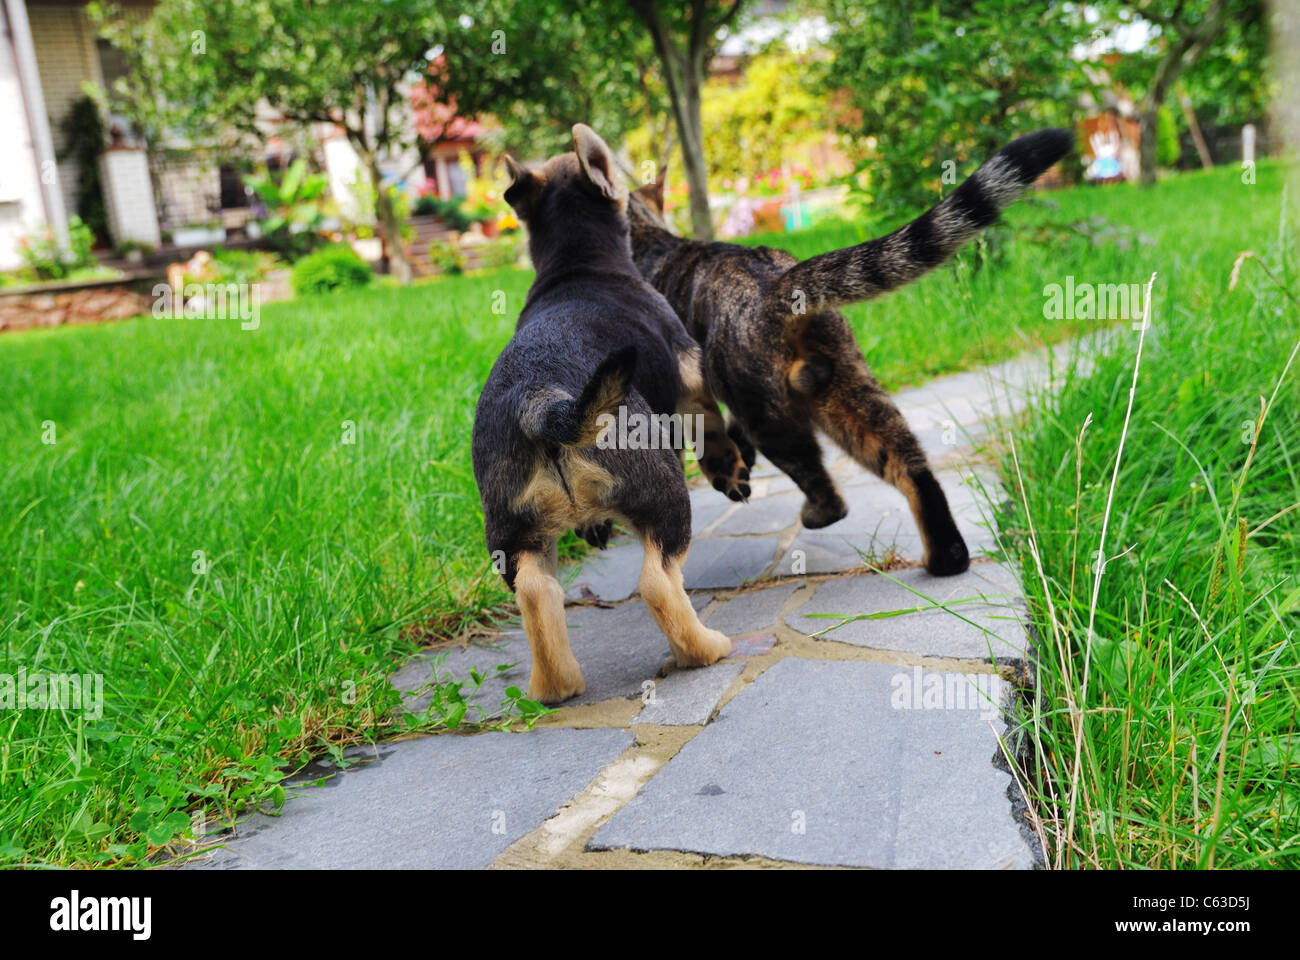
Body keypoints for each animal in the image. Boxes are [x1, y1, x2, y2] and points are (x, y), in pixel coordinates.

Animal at [475, 123, 743, 697]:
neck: (578, 263)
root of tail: (540, 398)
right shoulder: (691, 376)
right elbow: (711, 425)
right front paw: (732, 470)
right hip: (664, 493)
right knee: (658, 582)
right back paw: (704, 649)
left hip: (515, 534)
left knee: (537, 593)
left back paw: (555, 686)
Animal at [624, 128, 1071, 574]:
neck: (648, 239)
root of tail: (775, 280)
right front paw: (736, 464)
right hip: (849, 392)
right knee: (911, 466)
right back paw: (947, 555)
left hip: (771, 414)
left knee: (823, 486)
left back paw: (817, 512)